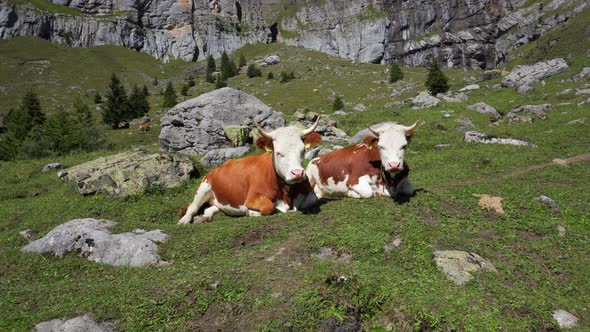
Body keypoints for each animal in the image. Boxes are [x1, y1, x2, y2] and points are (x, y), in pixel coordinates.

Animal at [178, 119, 324, 223]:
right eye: (278, 153)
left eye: (303, 150)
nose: (298, 173)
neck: (286, 195)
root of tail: (217, 168)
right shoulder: (252, 197)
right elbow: (268, 207)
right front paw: (251, 212)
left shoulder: (308, 191)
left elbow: (314, 199)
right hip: (203, 187)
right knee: (192, 207)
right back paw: (184, 220)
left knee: (211, 208)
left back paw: (205, 217)